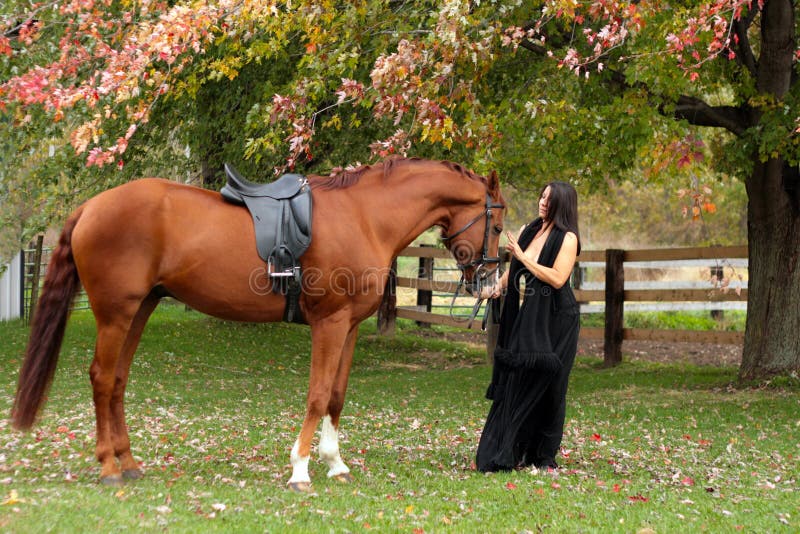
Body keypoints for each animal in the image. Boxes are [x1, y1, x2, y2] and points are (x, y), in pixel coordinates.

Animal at [9, 156, 504, 494]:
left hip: (140, 309)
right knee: (101, 378)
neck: (364, 216)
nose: (489, 281)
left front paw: (335, 462)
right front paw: (301, 469)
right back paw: (109, 467)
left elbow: (337, 397)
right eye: (497, 224)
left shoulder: (349, 327)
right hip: (116, 313)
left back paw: (127, 462)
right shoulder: (328, 324)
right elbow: (317, 395)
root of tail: (91, 207)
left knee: (116, 381)